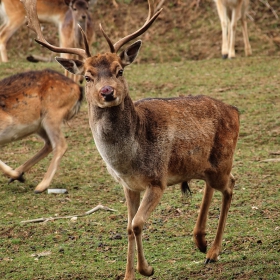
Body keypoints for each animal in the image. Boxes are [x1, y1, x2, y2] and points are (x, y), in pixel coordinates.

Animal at [22, 0, 241, 276]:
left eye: (120, 71)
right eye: (87, 76)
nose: (107, 92)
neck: (128, 160)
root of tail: (234, 111)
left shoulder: (157, 180)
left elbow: (137, 223)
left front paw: (146, 269)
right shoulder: (128, 185)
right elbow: (127, 226)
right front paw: (128, 274)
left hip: (223, 161)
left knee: (231, 184)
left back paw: (212, 252)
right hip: (203, 166)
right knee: (212, 185)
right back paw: (200, 242)